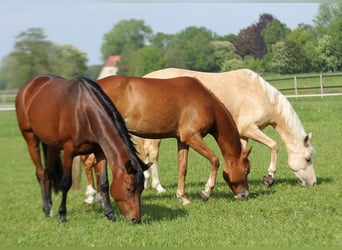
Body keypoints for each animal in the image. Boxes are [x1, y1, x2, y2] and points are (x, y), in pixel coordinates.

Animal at [15, 74, 148, 223]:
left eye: (142, 189)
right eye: (129, 189)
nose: (136, 219)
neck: (84, 109)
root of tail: (29, 85)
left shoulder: (100, 151)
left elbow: (104, 183)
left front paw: (110, 214)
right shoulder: (68, 151)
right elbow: (66, 183)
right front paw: (62, 215)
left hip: (52, 146)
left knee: (48, 172)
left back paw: (49, 207)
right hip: (30, 138)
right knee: (41, 173)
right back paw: (47, 209)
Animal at [140, 67, 318, 192]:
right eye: (308, 159)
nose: (313, 183)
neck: (259, 94)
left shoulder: (243, 134)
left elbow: (242, 155)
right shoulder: (249, 128)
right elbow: (274, 145)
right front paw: (270, 177)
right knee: (153, 154)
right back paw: (158, 187)